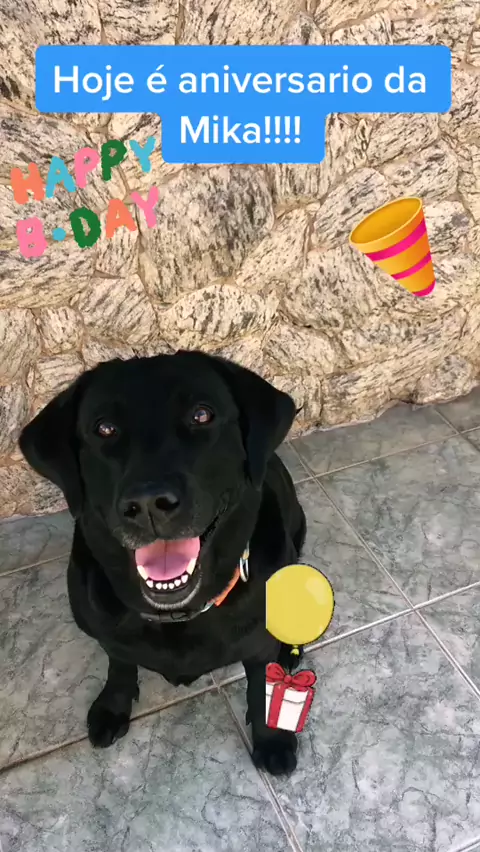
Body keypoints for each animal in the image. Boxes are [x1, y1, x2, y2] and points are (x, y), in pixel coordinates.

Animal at [19, 350, 307, 776]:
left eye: (202, 415)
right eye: (105, 428)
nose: (148, 504)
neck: (179, 615)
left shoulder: (257, 646)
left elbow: (261, 687)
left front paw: (272, 737)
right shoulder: (108, 633)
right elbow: (120, 662)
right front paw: (114, 704)